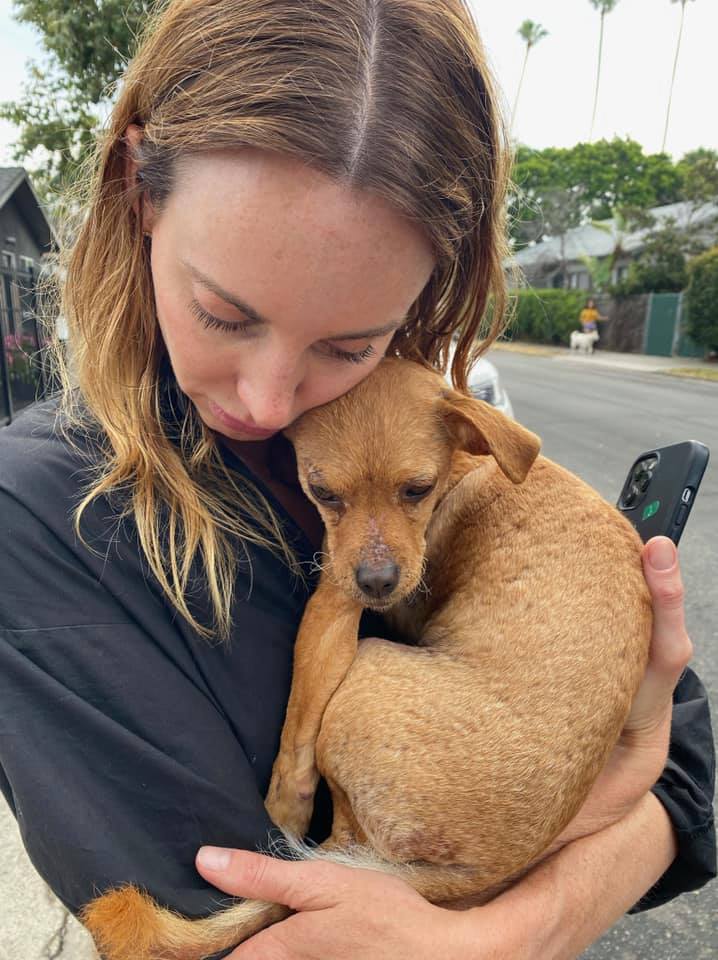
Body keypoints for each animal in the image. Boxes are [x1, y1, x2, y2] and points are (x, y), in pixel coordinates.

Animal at [83, 358, 652, 960]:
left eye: (418, 489)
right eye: (323, 492)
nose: (377, 583)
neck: (468, 462)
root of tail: (471, 874)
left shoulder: (332, 605)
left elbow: (295, 739)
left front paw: (281, 809)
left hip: (367, 668)